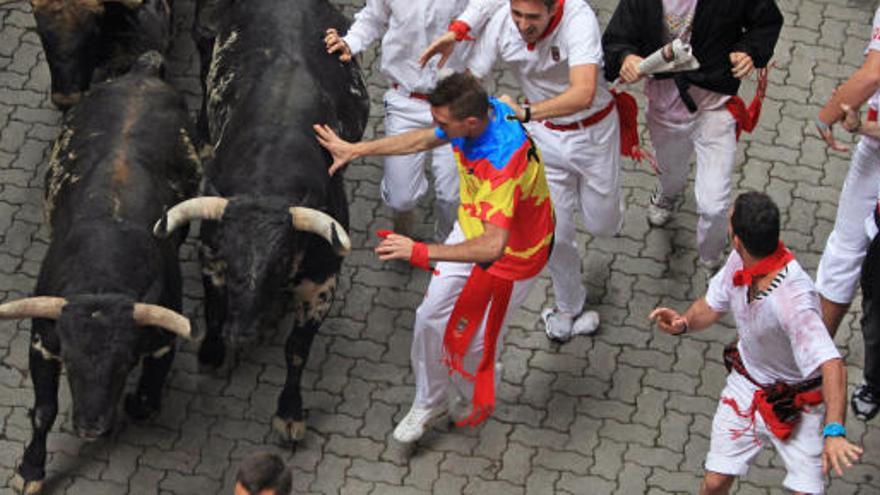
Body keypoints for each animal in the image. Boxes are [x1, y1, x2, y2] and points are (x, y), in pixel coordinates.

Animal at [0, 54, 199, 495]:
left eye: (124, 364)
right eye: (71, 364)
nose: (91, 426)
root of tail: (144, 71)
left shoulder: (161, 343)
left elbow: (148, 396)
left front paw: (135, 404)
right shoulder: (43, 342)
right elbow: (43, 409)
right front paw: (31, 469)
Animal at [155, 0, 368, 442]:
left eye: (279, 263)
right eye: (232, 263)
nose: (243, 333)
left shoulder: (323, 281)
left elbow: (297, 350)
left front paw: (290, 412)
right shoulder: (210, 255)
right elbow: (215, 309)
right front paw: (213, 352)